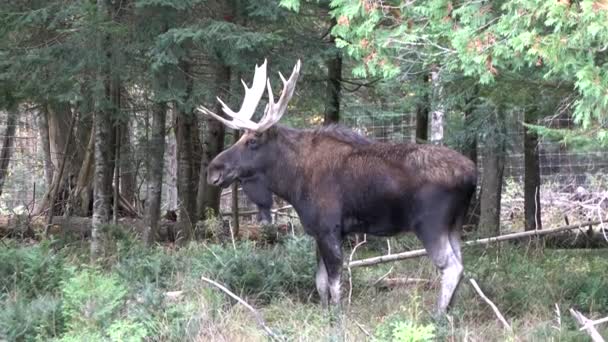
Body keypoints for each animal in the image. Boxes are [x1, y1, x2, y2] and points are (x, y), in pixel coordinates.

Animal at [197, 60, 478, 314]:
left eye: (253, 140)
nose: (213, 170)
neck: (291, 181)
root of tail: (473, 175)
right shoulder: (319, 232)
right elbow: (320, 283)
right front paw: (326, 315)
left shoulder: (329, 228)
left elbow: (333, 283)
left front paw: (337, 319)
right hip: (454, 226)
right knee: (462, 263)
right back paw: (450, 313)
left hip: (431, 225)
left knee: (452, 267)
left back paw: (438, 316)